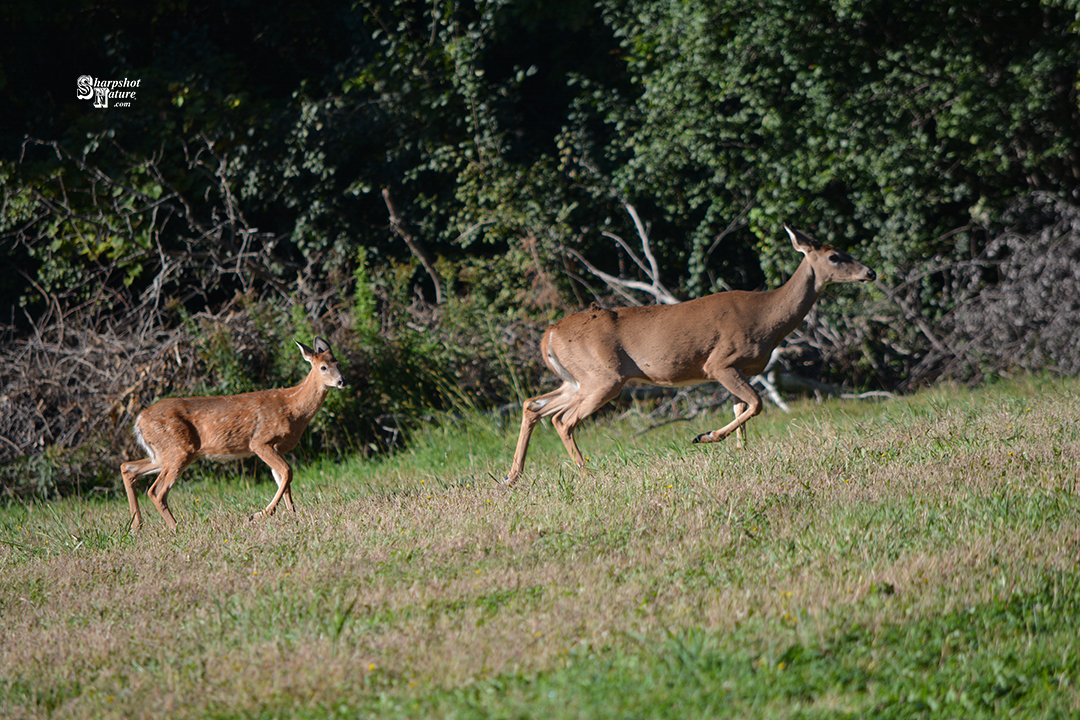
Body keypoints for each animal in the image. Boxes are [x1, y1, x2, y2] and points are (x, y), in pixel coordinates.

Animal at [120, 336, 343, 528]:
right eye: (323, 367)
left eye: (338, 363)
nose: (342, 381)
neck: (294, 408)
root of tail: (139, 420)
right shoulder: (260, 441)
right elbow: (288, 472)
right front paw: (260, 514)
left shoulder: (276, 446)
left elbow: (283, 479)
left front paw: (292, 515)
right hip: (178, 449)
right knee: (156, 491)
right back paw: (176, 528)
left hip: (162, 453)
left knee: (128, 468)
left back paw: (136, 525)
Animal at [505, 225, 876, 483]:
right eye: (835, 256)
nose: (870, 272)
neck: (767, 318)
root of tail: (550, 334)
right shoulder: (720, 361)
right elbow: (756, 404)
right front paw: (705, 436)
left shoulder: (740, 369)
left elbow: (741, 406)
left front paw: (740, 452)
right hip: (604, 377)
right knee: (563, 419)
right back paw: (585, 472)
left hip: (577, 379)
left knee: (534, 405)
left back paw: (513, 476)